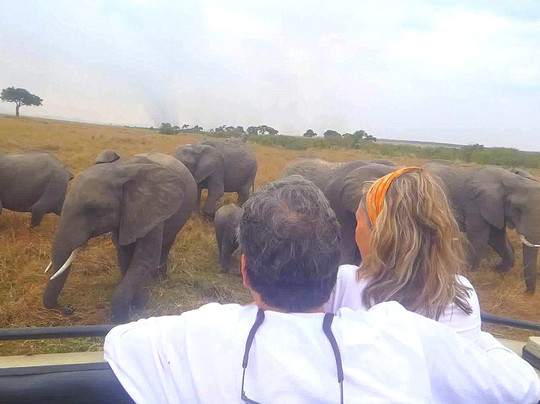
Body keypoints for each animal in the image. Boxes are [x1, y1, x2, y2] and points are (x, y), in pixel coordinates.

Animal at [42, 152, 198, 323]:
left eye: (93, 209)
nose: (70, 308)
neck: (118, 170)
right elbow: (124, 255)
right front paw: (135, 306)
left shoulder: (152, 210)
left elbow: (144, 260)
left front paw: (132, 314)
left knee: (167, 245)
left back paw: (160, 278)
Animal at [424, 163, 540, 293]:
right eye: (516, 209)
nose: (526, 292)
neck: (512, 180)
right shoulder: (477, 205)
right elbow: (481, 238)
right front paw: (469, 274)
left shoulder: (496, 209)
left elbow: (496, 238)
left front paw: (496, 270)